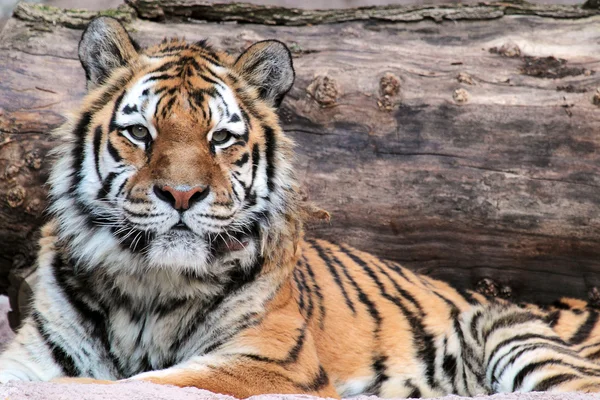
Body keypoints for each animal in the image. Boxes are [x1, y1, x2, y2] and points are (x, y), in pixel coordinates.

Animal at [1, 14, 600, 396]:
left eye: (220, 138)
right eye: (140, 133)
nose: (182, 194)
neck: (150, 288)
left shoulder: (269, 364)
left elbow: (130, 384)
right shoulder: (31, 353)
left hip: (516, 334)